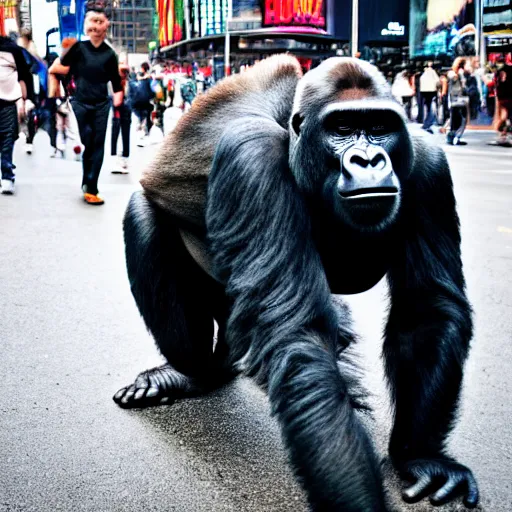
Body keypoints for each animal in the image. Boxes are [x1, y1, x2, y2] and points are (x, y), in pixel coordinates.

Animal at [114, 54, 478, 510]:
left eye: (380, 126)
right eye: (342, 129)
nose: (369, 160)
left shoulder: (429, 164)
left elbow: (427, 310)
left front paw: (421, 455)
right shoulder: (252, 157)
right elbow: (297, 336)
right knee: (143, 217)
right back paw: (190, 374)